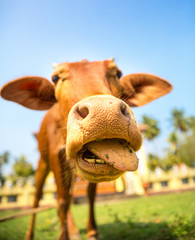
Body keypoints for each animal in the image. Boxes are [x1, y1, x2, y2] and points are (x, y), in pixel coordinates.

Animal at [1, 58, 172, 240]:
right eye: (55, 78)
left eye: (118, 73)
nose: (105, 113)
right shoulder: (56, 156)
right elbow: (61, 200)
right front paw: (63, 236)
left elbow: (89, 195)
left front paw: (92, 232)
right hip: (42, 163)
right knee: (37, 199)